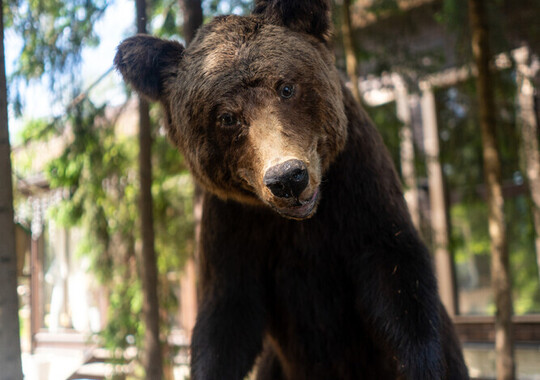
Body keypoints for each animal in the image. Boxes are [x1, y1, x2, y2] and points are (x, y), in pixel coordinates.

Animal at [114, 0, 468, 380]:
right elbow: (227, 318)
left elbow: (398, 284)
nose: (287, 178)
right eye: (226, 117)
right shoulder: (235, 226)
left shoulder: (361, 192)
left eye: (286, 87)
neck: (305, 221)